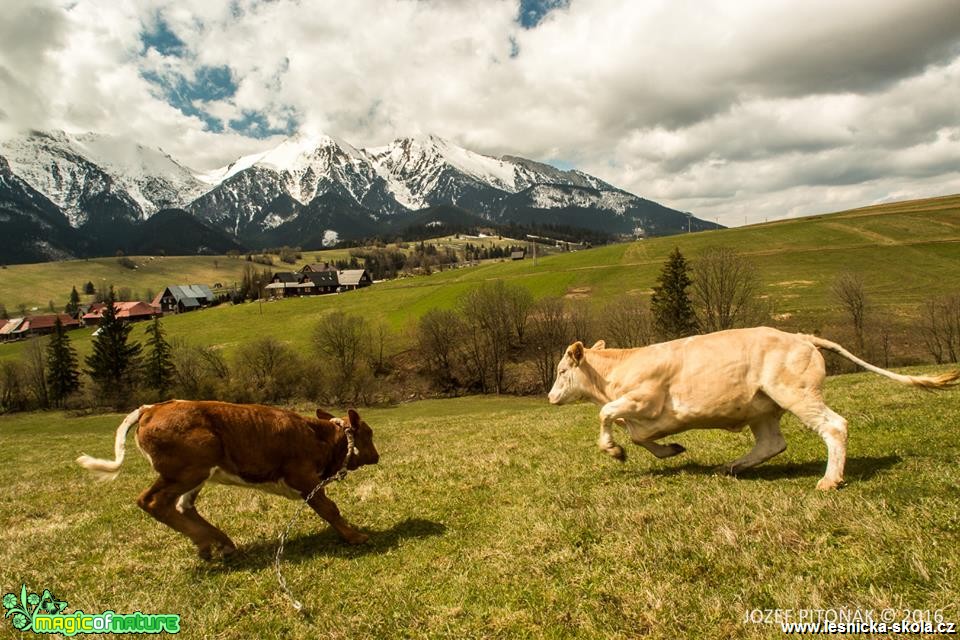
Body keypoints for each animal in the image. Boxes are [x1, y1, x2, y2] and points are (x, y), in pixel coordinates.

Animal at [76, 400, 378, 560]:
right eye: (369, 433)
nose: (376, 455)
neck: (319, 437)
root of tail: (153, 407)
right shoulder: (303, 478)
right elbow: (329, 509)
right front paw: (356, 536)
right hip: (187, 470)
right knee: (152, 501)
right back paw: (206, 541)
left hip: (195, 474)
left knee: (183, 506)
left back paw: (219, 543)